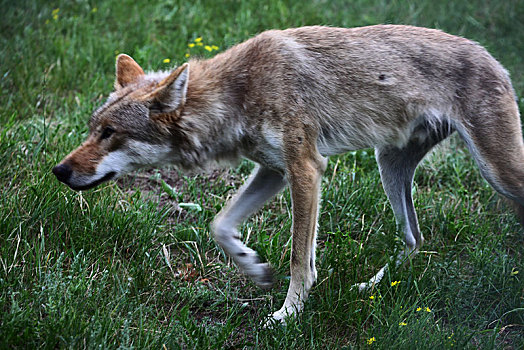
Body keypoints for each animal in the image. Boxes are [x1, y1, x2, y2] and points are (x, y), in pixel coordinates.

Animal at [53, 26, 524, 324]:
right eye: (93, 128)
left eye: (110, 133)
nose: (58, 170)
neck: (239, 90)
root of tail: (494, 58)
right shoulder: (273, 171)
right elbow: (219, 224)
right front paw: (253, 267)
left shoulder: (305, 170)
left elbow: (300, 259)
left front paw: (287, 315)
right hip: (388, 164)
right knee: (414, 238)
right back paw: (371, 285)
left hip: (496, 171)